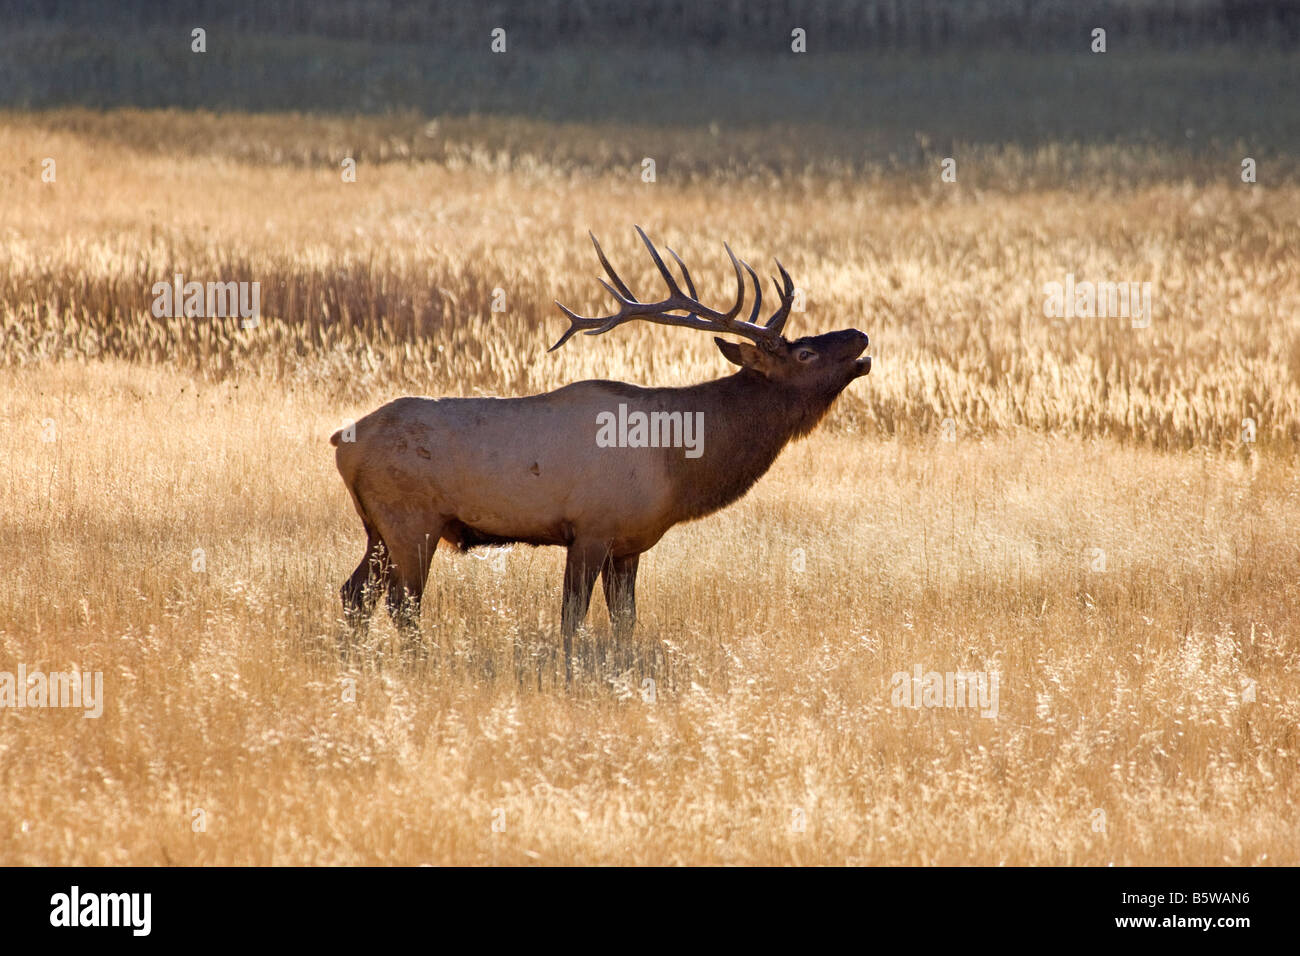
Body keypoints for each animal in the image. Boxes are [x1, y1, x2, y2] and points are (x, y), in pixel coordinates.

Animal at [330, 230, 868, 681]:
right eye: (804, 354)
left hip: (377, 528)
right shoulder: (590, 528)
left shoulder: (629, 544)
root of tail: (342, 439)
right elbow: (572, 617)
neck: (679, 461)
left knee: (354, 593)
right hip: (411, 519)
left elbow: (625, 621)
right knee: (402, 603)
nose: (860, 336)